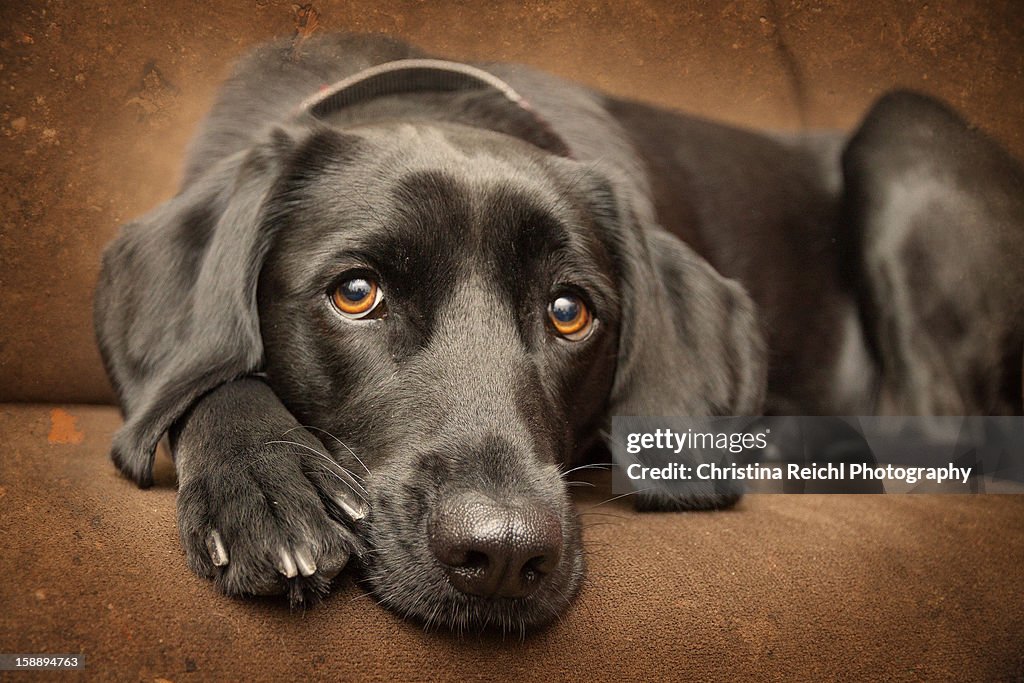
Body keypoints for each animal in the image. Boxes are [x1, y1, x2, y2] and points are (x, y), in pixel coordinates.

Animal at [94, 31, 1024, 630]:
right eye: (355, 293)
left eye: (570, 309)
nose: (502, 554)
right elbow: (211, 374)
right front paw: (262, 479)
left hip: (906, 135)